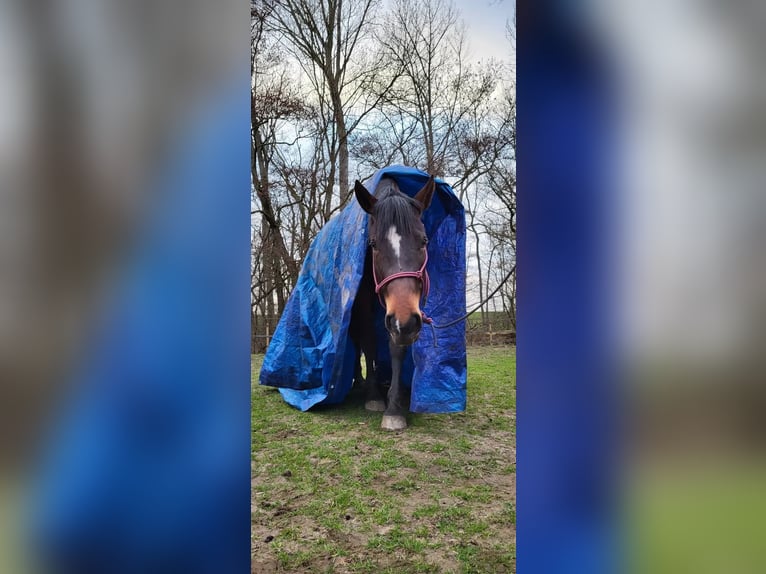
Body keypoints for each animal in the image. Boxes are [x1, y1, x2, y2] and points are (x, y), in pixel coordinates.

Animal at [349, 175, 436, 430]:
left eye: (424, 241)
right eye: (373, 244)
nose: (404, 323)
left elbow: (396, 347)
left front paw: (394, 407)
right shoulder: (364, 306)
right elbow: (369, 342)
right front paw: (374, 396)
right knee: (356, 341)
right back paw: (360, 382)